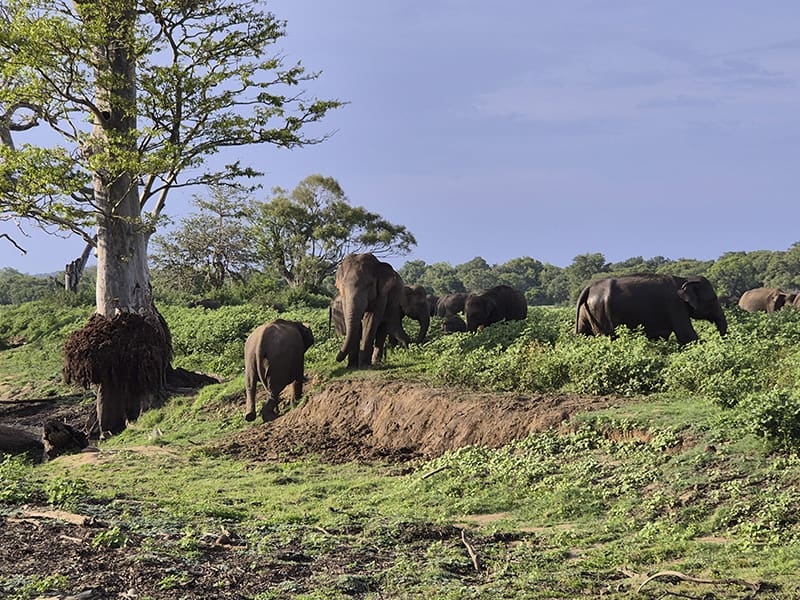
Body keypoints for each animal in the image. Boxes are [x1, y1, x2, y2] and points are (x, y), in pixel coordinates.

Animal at [576, 274, 727, 344]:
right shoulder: (675, 305)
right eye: (713, 299)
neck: (683, 279)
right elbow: (687, 335)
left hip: (587, 312)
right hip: (601, 312)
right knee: (608, 337)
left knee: (584, 334)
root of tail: (588, 288)